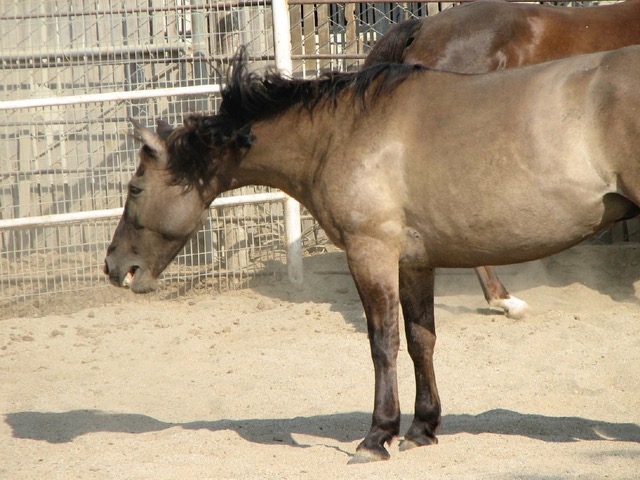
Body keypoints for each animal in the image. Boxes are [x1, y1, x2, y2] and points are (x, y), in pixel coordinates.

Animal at [104, 46, 640, 463]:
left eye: (134, 188)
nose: (114, 266)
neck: (341, 133)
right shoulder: (414, 262)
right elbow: (422, 339)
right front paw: (422, 429)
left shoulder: (371, 253)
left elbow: (383, 343)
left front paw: (377, 436)